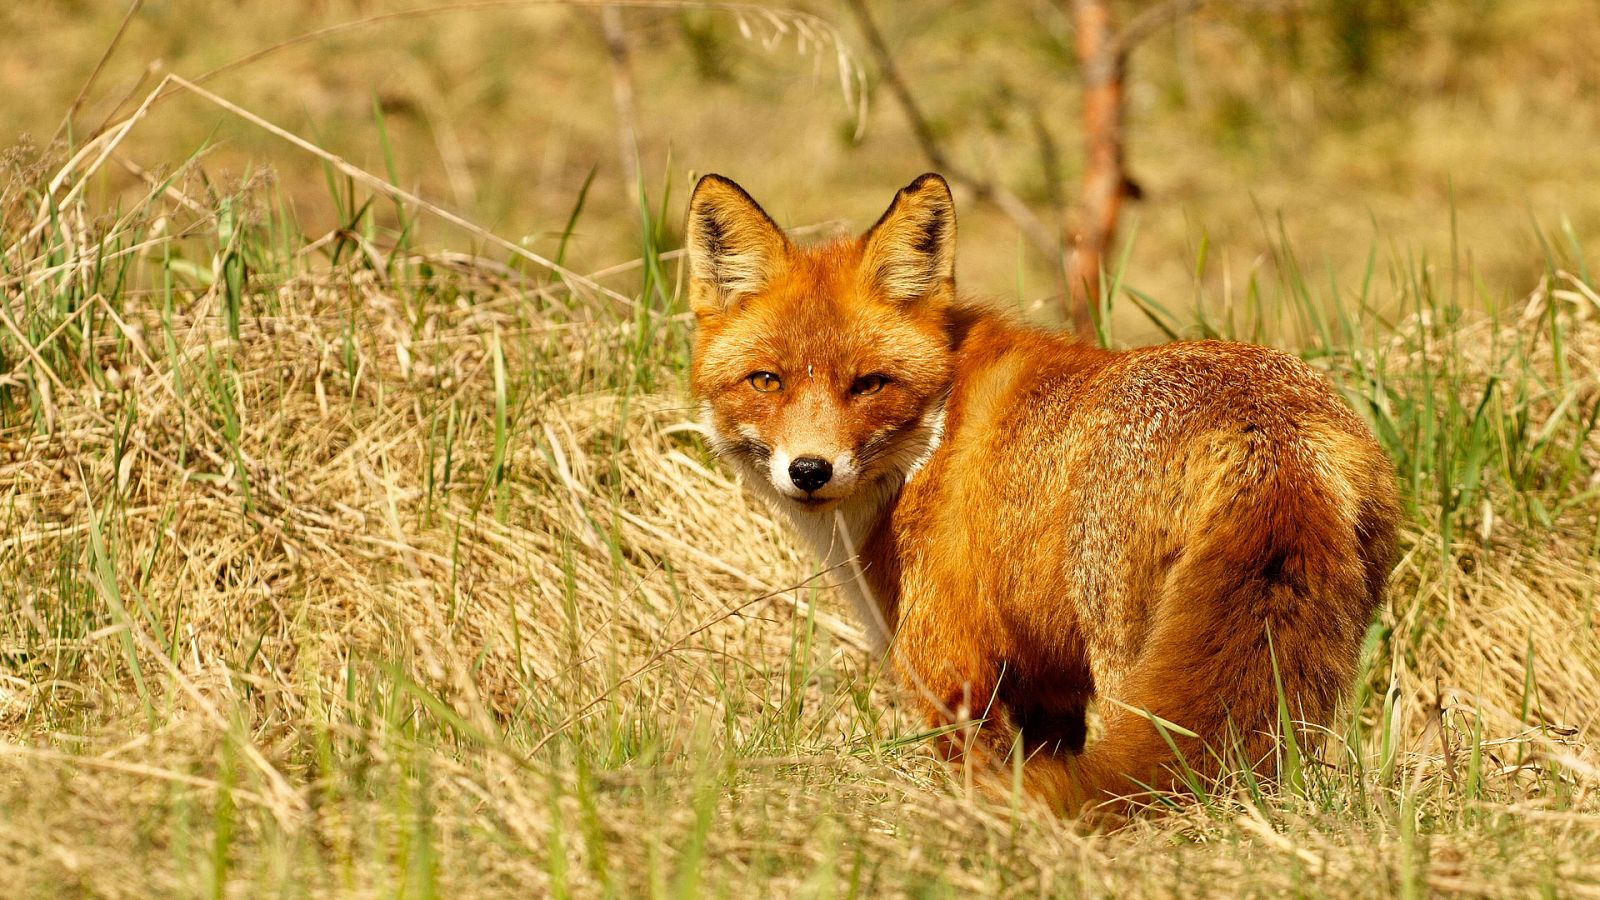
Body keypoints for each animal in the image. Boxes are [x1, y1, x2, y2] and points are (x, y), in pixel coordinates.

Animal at [688, 171, 1401, 810]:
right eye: (767, 381)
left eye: (868, 384)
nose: (810, 470)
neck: (928, 445)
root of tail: (1264, 432)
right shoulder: (1047, 691)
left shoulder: (950, 674)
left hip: (1120, 656)